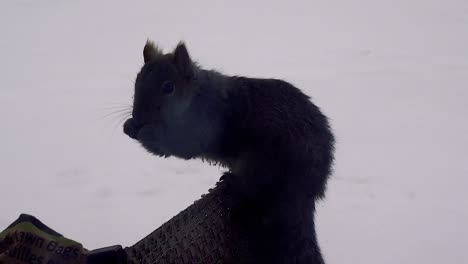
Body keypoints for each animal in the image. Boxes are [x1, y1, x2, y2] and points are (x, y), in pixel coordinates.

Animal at [122, 40, 334, 262]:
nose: (138, 117)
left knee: (254, 191)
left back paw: (234, 186)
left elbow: (179, 145)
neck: (196, 96)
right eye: (137, 80)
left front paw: (146, 132)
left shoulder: (205, 124)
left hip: (261, 163)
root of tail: (308, 190)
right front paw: (130, 126)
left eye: (168, 87)